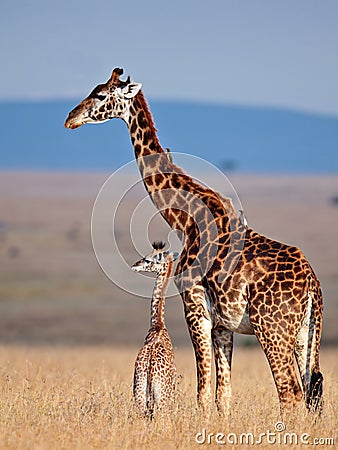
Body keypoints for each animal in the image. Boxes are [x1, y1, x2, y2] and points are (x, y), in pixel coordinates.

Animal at [131, 243, 178, 418]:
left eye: (147, 259)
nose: (134, 265)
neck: (158, 324)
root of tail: (150, 366)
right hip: (160, 396)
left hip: (140, 392)